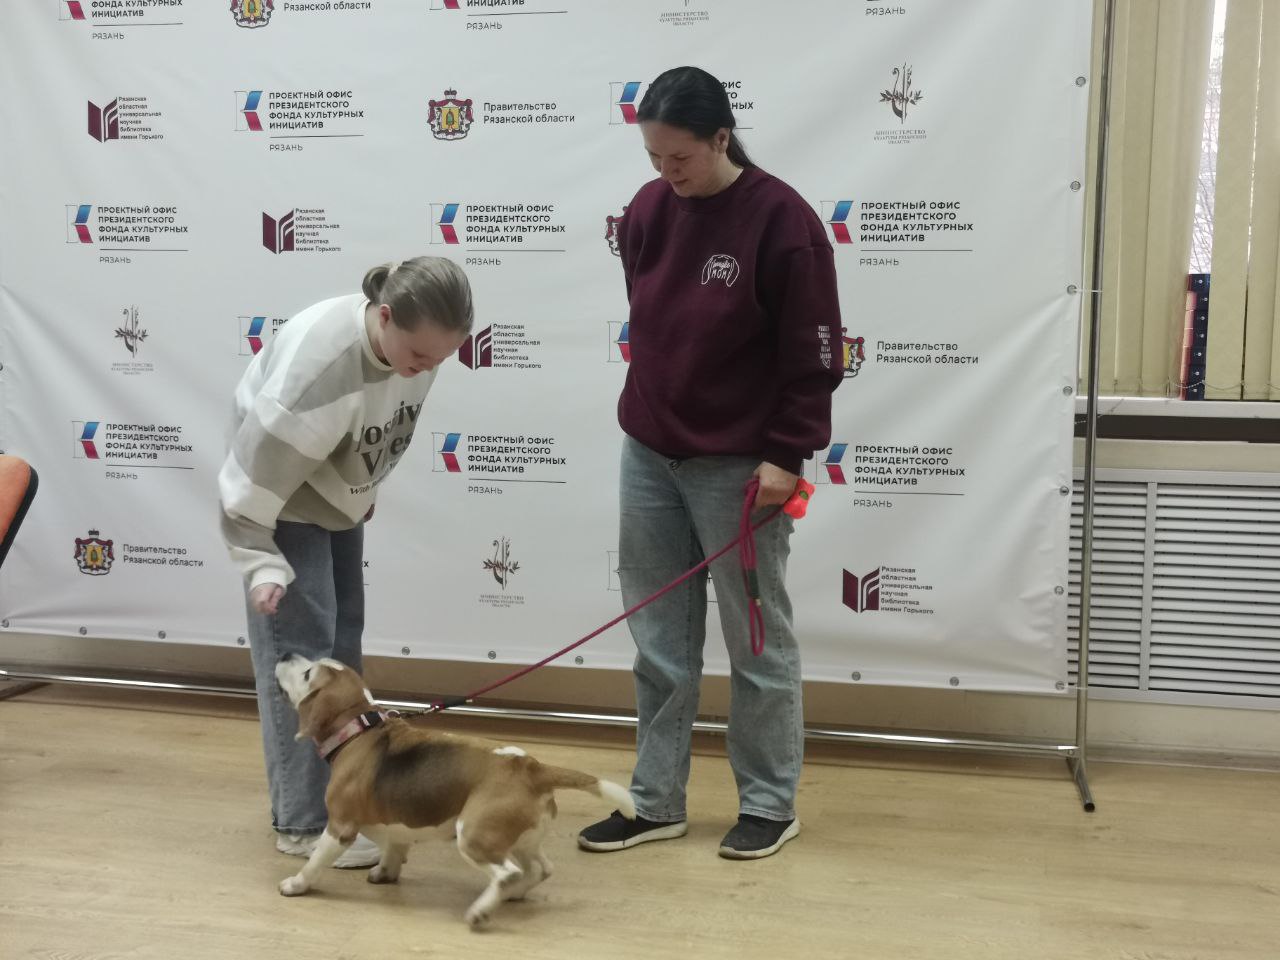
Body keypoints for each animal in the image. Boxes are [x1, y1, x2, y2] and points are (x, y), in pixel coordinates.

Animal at [273, 653, 635, 927]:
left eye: (307, 674)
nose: (286, 654)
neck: (359, 731)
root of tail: (531, 768)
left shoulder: (340, 827)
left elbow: (315, 862)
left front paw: (296, 884)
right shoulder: (396, 828)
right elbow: (394, 847)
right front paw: (386, 873)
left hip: (473, 835)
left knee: (507, 873)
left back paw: (482, 910)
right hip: (521, 837)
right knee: (540, 869)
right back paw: (513, 893)